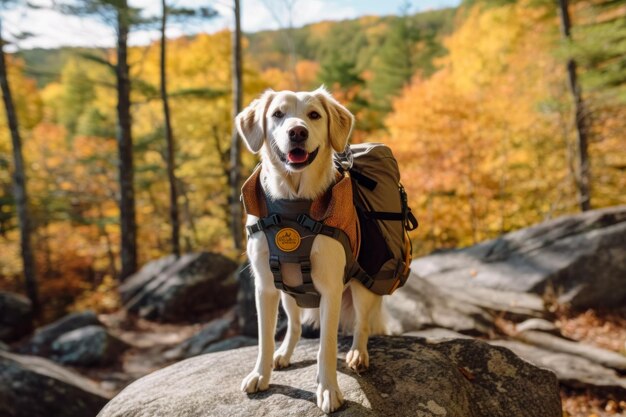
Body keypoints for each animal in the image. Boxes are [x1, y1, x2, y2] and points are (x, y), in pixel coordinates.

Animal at [235, 86, 386, 412]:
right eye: (277, 114)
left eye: (314, 115)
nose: (297, 132)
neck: (293, 204)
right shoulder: (265, 287)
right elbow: (265, 339)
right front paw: (260, 374)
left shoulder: (330, 288)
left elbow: (325, 347)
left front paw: (328, 389)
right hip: (287, 292)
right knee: (294, 326)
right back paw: (284, 354)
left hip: (362, 288)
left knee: (362, 325)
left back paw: (358, 354)